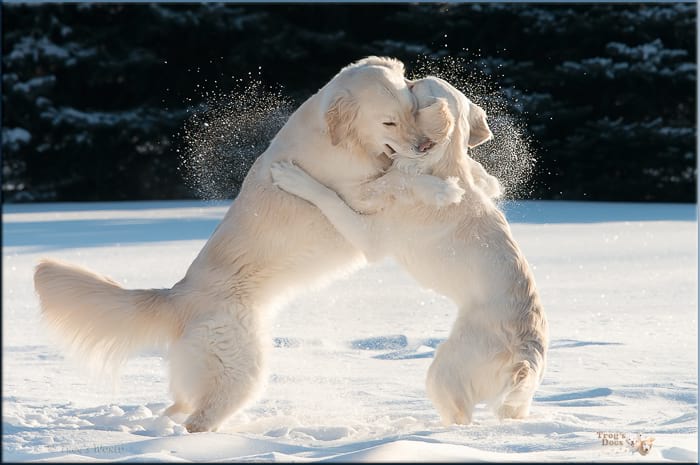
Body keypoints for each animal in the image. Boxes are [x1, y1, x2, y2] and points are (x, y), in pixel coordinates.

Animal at [31, 57, 448, 432]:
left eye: (412, 110)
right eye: (388, 122)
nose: (426, 145)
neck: (342, 141)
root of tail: (177, 295)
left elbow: (398, 175)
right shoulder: (354, 194)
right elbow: (395, 180)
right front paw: (441, 188)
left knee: (180, 404)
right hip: (243, 371)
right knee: (199, 421)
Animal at [270, 75, 548, 424]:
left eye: (416, 88)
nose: (407, 78)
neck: (440, 164)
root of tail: (526, 355)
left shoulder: (369, 235)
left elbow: (328, 196)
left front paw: (291, 176)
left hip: (443, 372)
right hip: (513, 402)